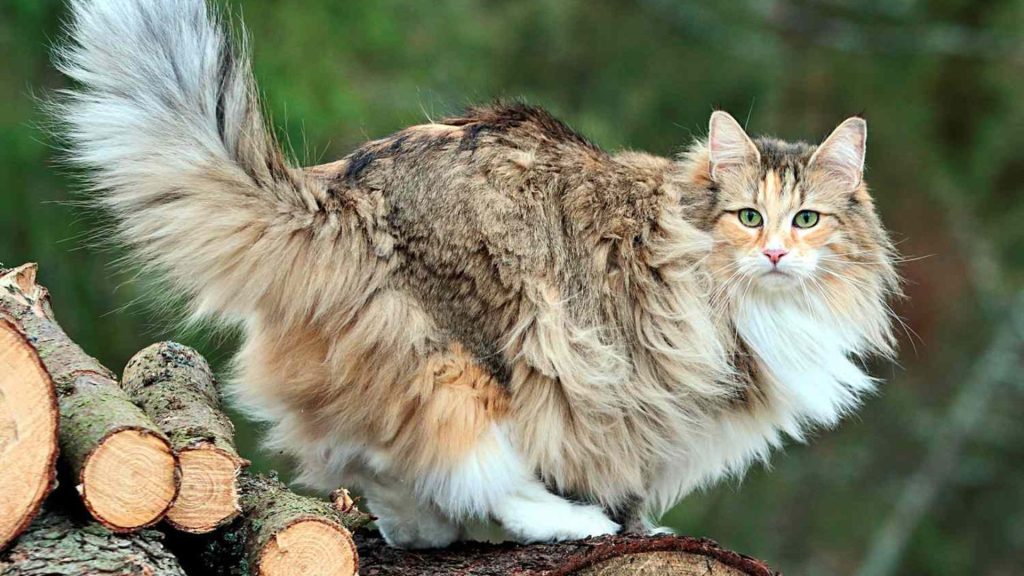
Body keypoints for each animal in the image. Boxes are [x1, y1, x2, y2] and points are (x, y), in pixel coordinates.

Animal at [56, 0, 901, 545]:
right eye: (749, 217)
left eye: (807, 219)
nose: (777, 254)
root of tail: (345, 188)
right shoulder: (654, 391)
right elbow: (627, 475)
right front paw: (632, 525)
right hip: (480, 351)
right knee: (472, 465)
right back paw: (559, 524)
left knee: (382, 466)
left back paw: (423, 530)